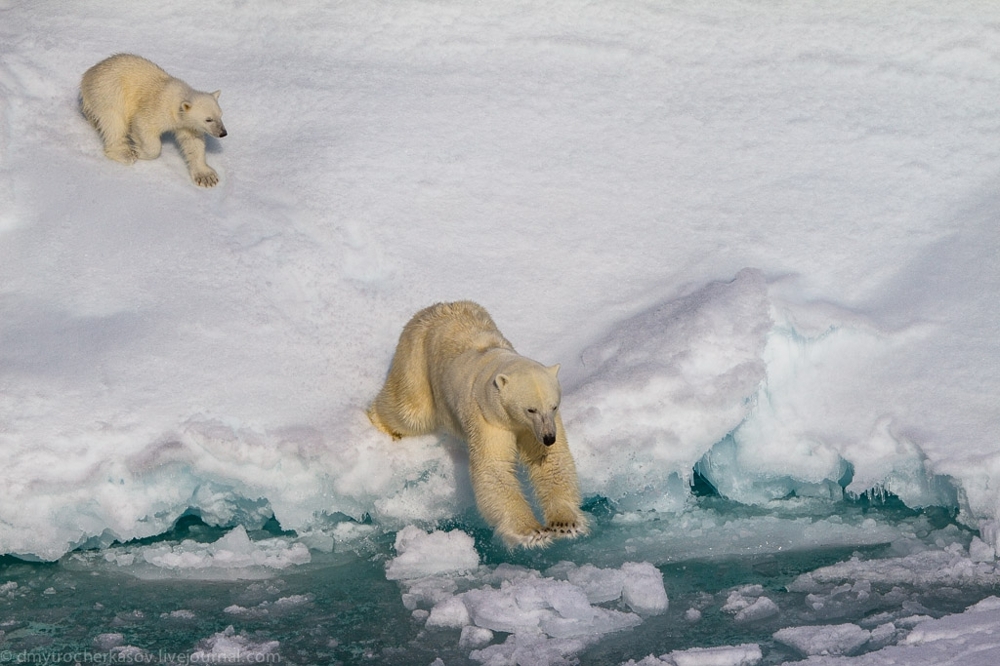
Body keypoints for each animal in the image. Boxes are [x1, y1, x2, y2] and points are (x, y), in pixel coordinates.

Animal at [368, 300, 584, 544]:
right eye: (531, 409)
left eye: (554, 406)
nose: (549, 437)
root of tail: (439, 306)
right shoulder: (488, 418)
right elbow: (493, 466)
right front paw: (532, 532)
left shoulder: (536, 427)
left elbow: (549, 460)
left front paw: (565, 524)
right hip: (416, 355)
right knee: (410, 410)